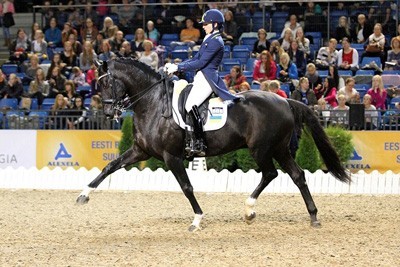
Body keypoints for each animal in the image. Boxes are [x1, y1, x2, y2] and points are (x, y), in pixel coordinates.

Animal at [76, 58, 352, 232]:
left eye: (105, 83)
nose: (109, 112)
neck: (153, 103)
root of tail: (285, 101)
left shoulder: (171, 156)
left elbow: (187, 187)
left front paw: (197, 220)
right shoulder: (140, 151)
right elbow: (110, 166)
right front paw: (83, 195)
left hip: (262, 148)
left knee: (271, 173)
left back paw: (249, 210)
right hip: (279, 148)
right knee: (297, 175)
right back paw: (313, 216)